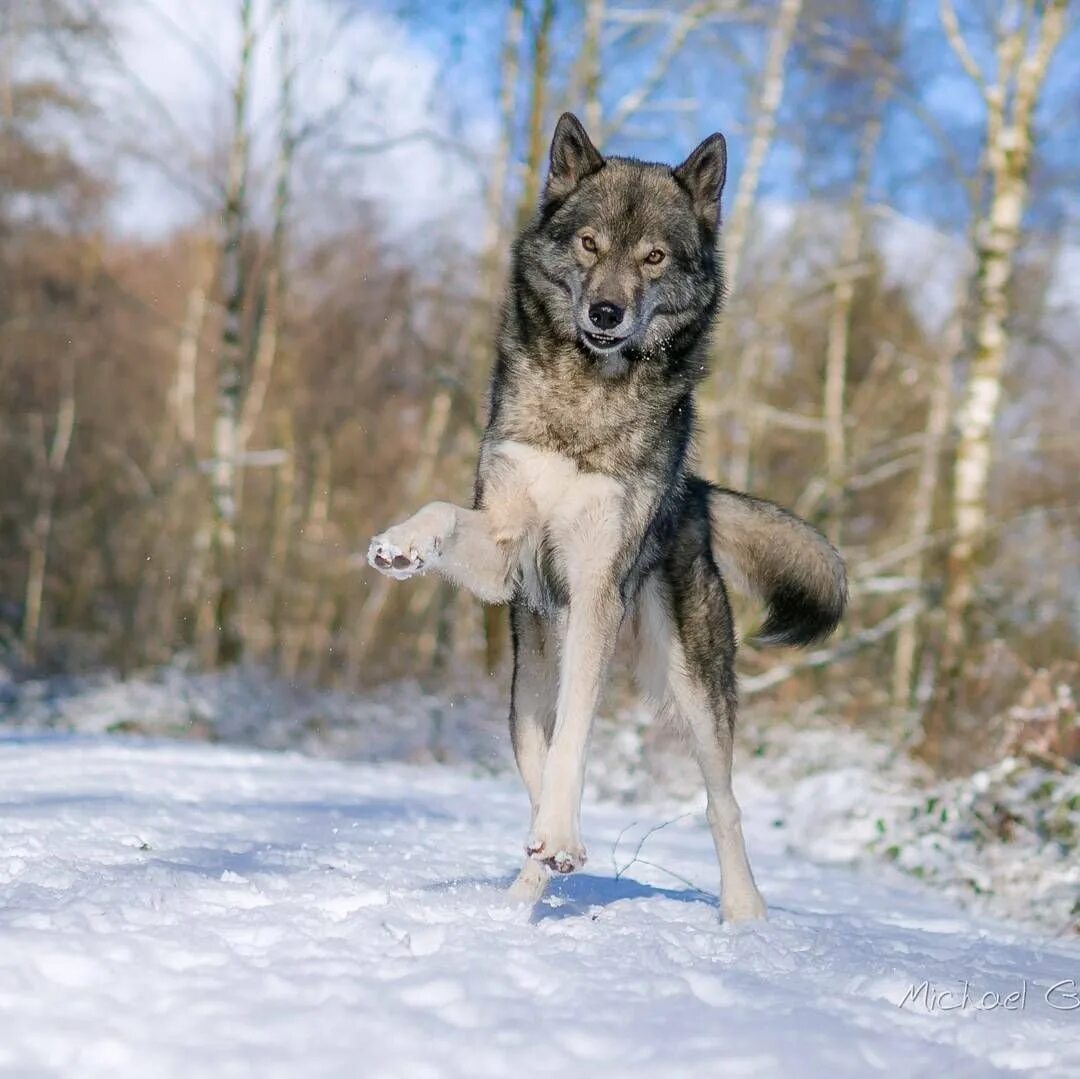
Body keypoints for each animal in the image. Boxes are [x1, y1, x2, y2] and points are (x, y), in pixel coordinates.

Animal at [367, 111, 846, 920]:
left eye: (653, 257)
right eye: (590, 244)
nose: (605, 313)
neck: (584, 398)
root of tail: (694, 492)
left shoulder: (596, 588)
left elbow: (577, 746)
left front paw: (563, 837)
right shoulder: (505, 549)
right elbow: (442, 511)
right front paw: (402, 544)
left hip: (693, 685)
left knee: (721, 802)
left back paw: (742, 913)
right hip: (523, 692)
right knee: (540, 763)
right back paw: (522, 896)